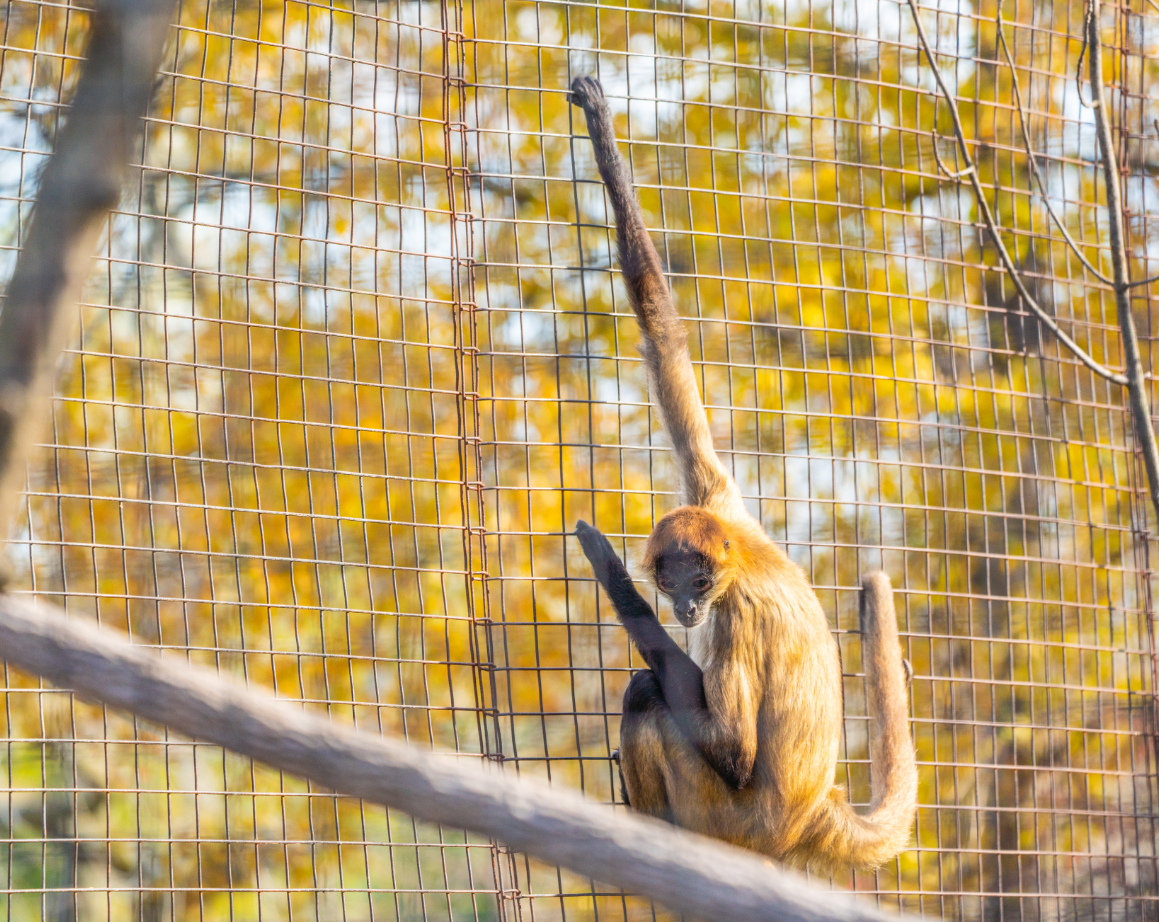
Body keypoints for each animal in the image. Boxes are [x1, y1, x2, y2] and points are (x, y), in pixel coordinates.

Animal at [568, 75, 917, 871]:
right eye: (675, 582)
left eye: (698, 584)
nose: (686, 609)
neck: (742, 560)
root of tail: (813, 810)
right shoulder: (717, 497)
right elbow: (662, 335)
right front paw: (603, 135)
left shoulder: (737, 615)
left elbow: (732, 748)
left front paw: (608, 569)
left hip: (729, 820)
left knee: (646, 693)